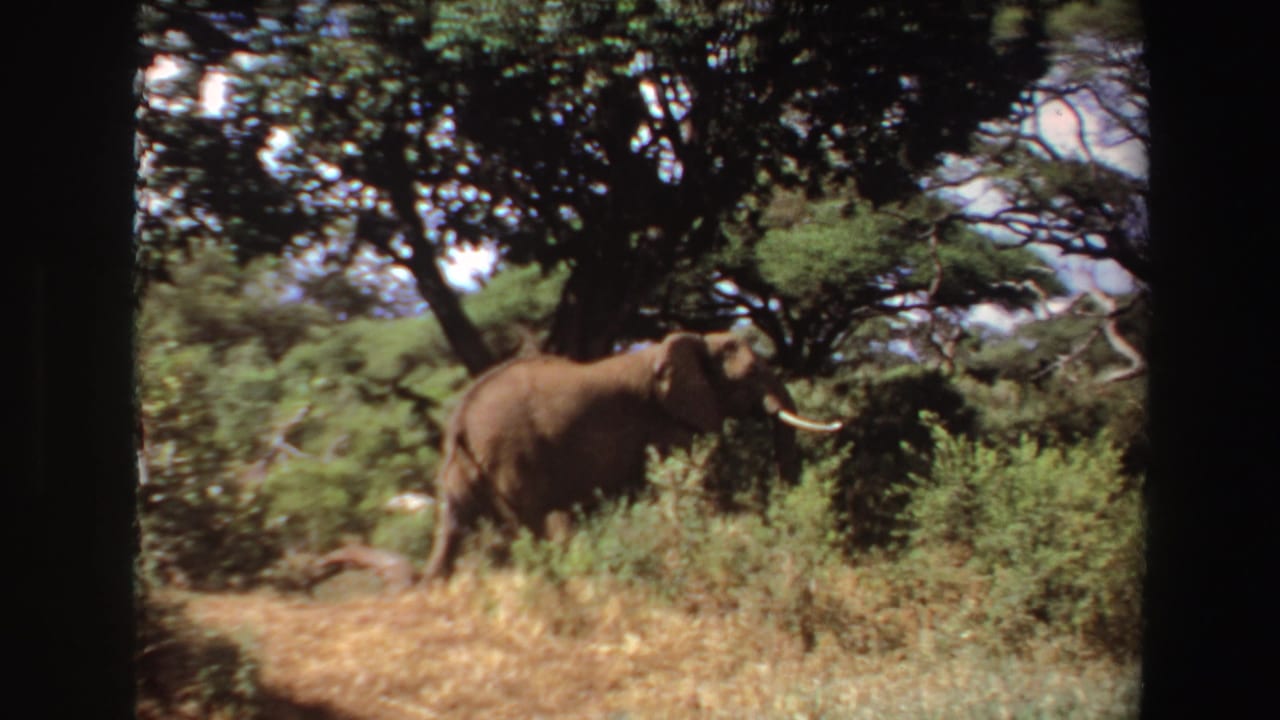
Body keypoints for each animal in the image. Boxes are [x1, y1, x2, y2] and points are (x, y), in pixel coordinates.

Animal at [422, 331, 842, 581]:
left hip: (463, 468)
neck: (692, 343)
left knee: (453, 527)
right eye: (753, 373)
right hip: (510, 457)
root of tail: (460, 417)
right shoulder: (664, 424)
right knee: (531, 527)